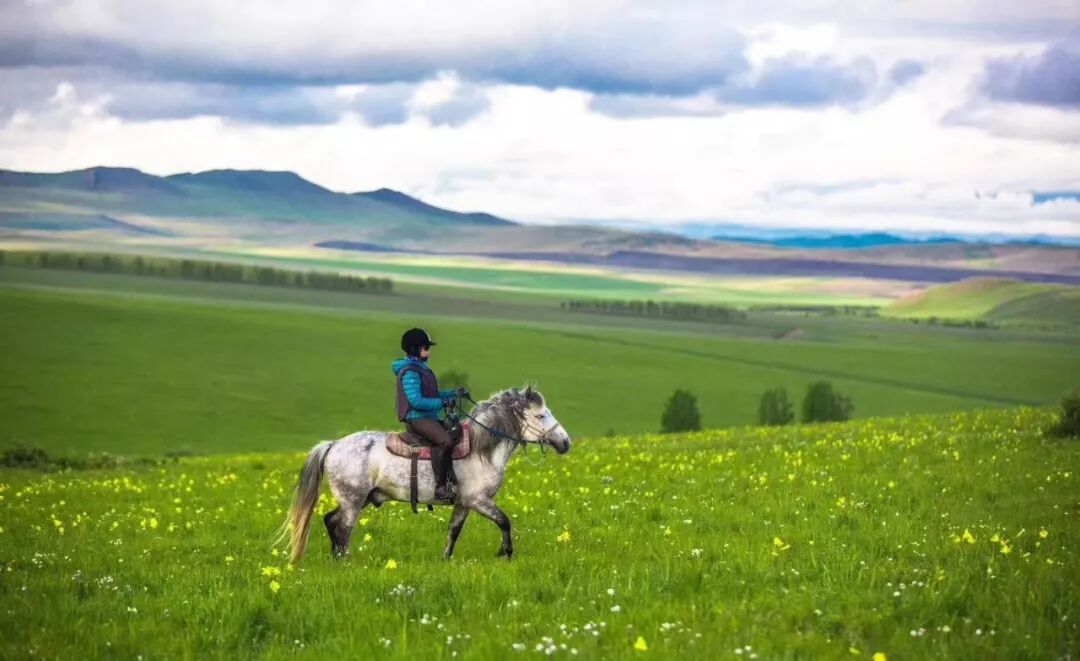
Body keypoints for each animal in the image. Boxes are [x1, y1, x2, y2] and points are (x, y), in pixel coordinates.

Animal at [280, 385, 571, 563]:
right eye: (541, 415)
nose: (565, 442)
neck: (482, 448)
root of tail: (332, 445)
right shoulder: (478, 500)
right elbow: (504, 521)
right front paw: (506, 552)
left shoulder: (464, 504)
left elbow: (454, 531)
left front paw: (446, 559)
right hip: (353, 501)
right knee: (343, 528)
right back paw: (345, 561)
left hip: (358, 499)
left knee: (331, 520)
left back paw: (336, 558)